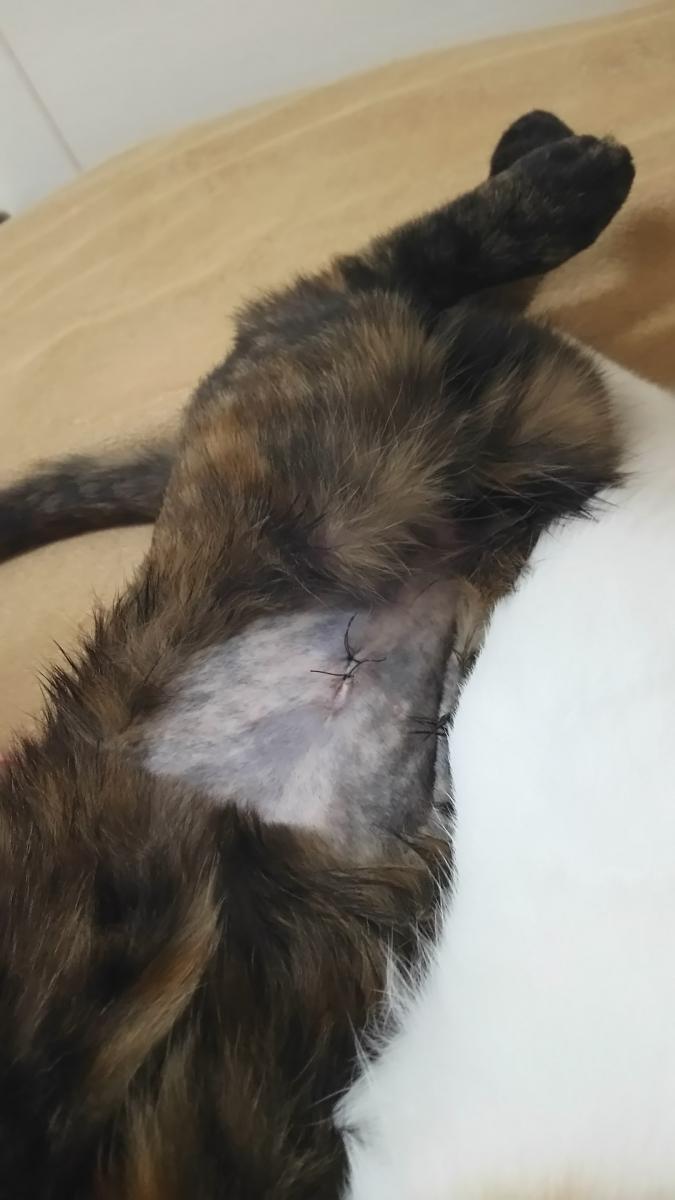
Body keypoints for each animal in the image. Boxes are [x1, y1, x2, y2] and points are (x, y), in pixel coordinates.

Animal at [0, 111, 633, 1198]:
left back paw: (565, 164)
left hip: (326, 461)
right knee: (410, 299)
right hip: (513, 413)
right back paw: (550, 159)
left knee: (358, 274)